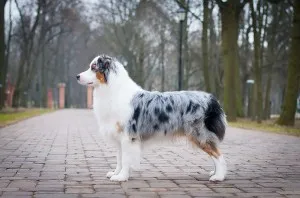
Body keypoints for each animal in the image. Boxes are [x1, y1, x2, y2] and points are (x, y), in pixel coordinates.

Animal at [76, 55, 226, 182]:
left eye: (93, 67)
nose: (77, 76)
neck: (112, 89)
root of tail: (212, 99)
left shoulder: (128, 136)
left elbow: (125, 159)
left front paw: (122, 177)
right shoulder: (119, 137)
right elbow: (119, 158)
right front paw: (116, 173)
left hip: (199, 134)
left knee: (218, 155)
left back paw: (218, 176)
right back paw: (215, 173)